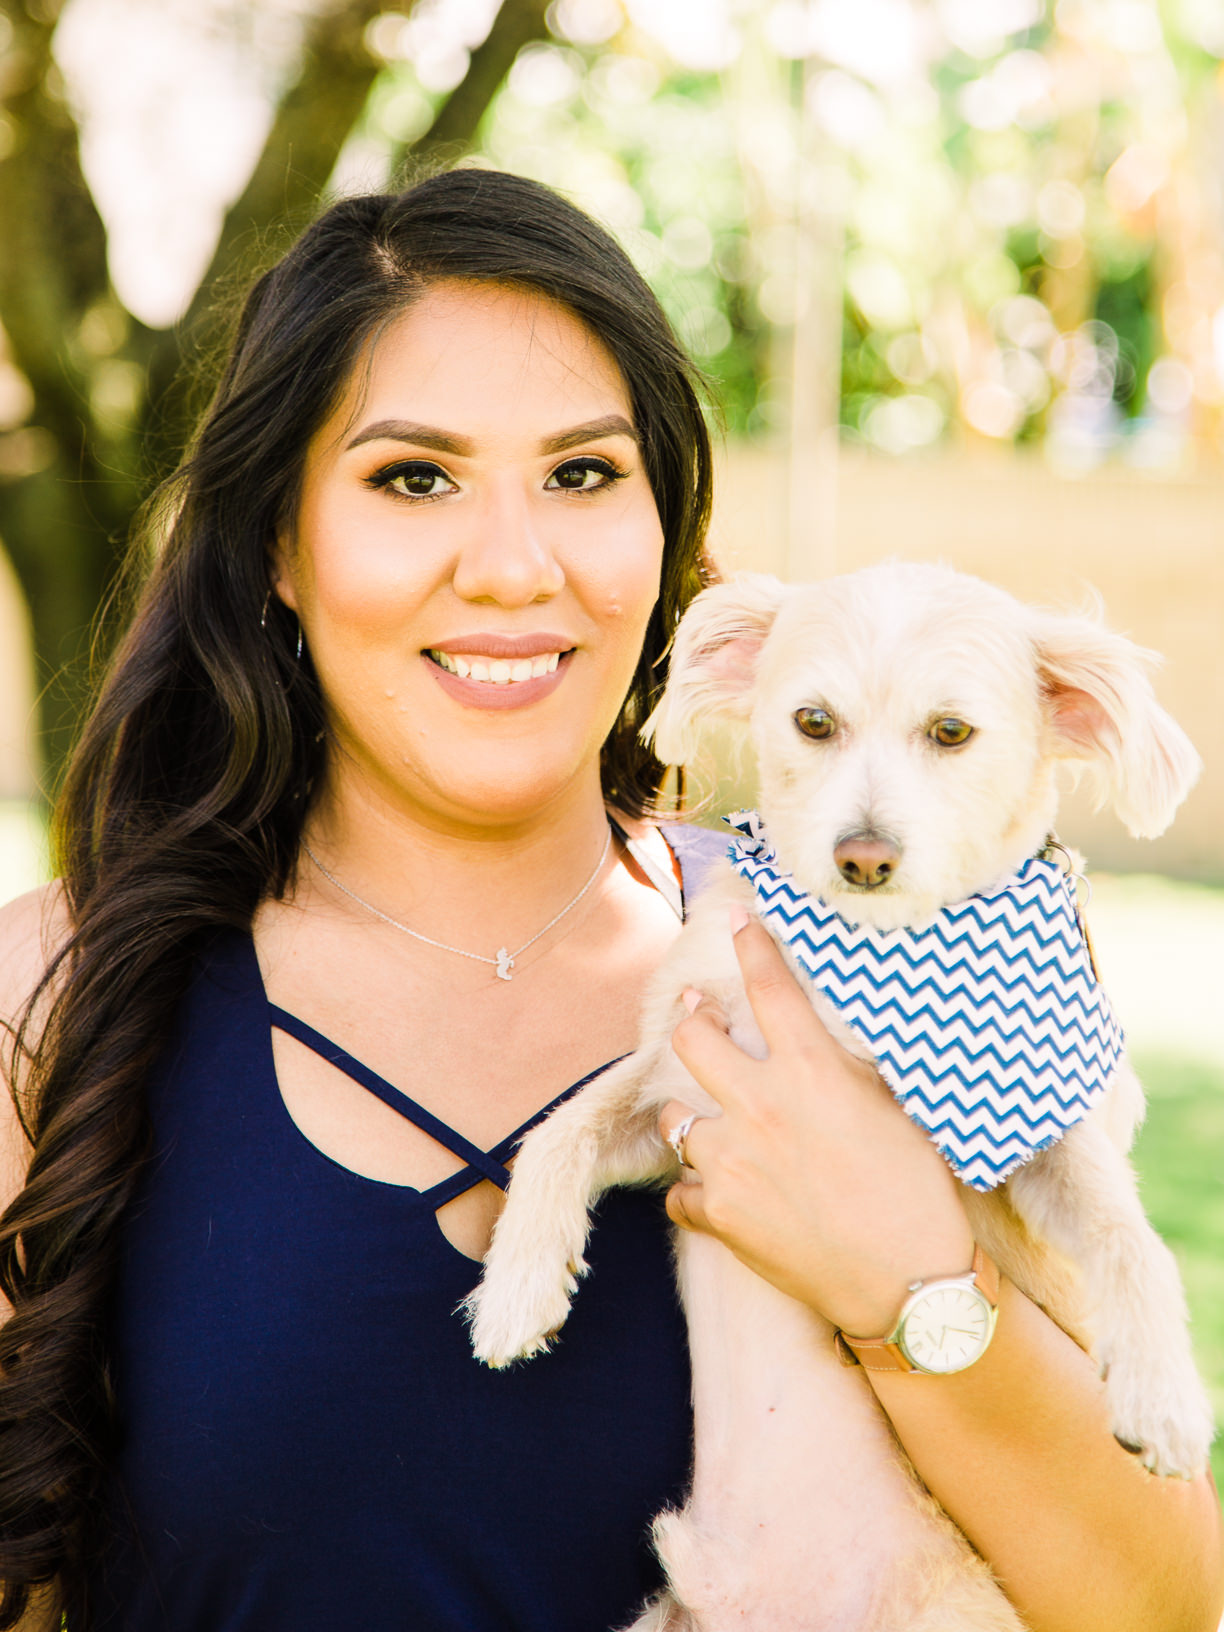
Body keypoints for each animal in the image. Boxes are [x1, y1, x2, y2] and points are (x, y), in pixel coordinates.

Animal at [463, 561, 1220, 1632]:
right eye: (813, 721)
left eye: (952, 731)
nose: (863, 856)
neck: (867, 961)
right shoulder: (676, 1088)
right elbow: (558, 1133)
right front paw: (517, 1288)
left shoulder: (1036, 1139)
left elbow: (1128, 1237)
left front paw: (1161, 1389)